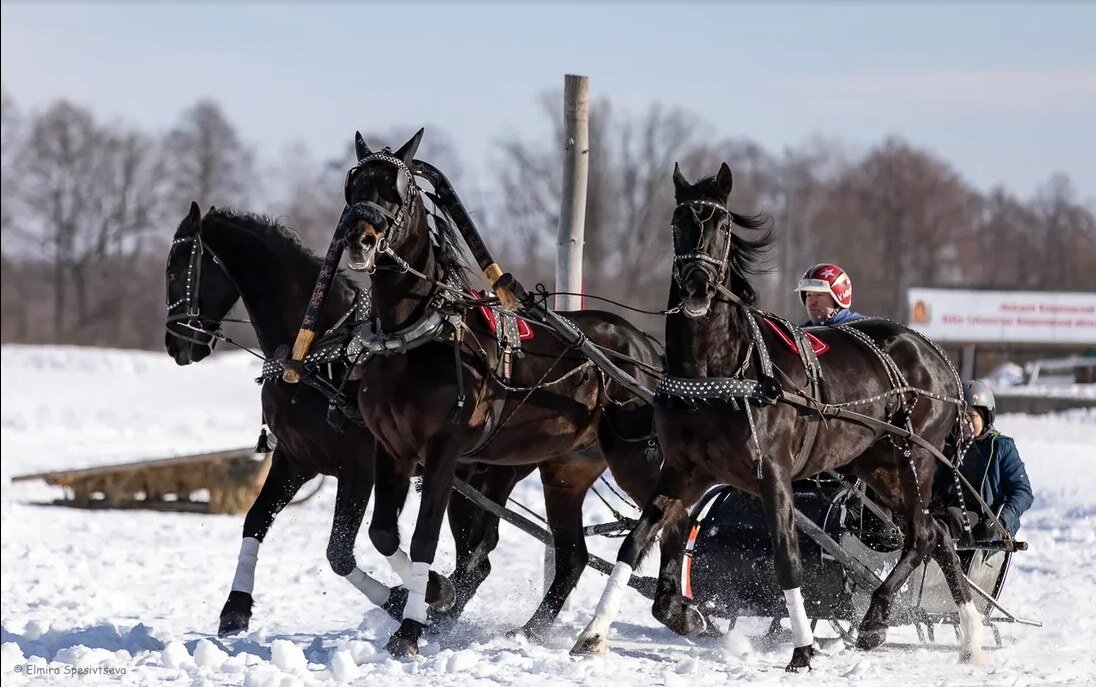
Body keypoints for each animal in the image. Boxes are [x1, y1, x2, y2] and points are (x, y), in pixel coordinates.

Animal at [160, 201, 455, 635]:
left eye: (176, 267)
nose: (175, 344)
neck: (312, 355)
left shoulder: (358, 470)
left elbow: (341, 553)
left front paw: (417, 594)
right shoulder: (296, 460)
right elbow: (255, 520)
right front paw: (236, 606)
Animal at [339, 130, 701, 661]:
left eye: (395, 190)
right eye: (353, 185)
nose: (360, 239)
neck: (418, 339)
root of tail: (645, 347)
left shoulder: (444, 450)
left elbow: (425, 539)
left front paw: (411, 628)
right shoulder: (392, 448)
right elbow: (384, 533)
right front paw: (437, 593)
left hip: (636, 454)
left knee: (674, 513)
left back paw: (672, 609)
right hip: (566, 470)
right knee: (573, 555)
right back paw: (534, 630)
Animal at [569, 162, 982, 670]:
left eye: (723, 225)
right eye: (677, 221)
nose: (697, 283)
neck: (721, 371)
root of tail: (936, 355)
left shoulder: (774, 473)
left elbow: (787, 557)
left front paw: (803, 649)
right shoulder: (684, 470)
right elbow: (635, 543)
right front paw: (599, 632)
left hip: (913, 458)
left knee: (923, 534)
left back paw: (880, 617)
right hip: (878, 465)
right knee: (938, 535)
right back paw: (967, 638)